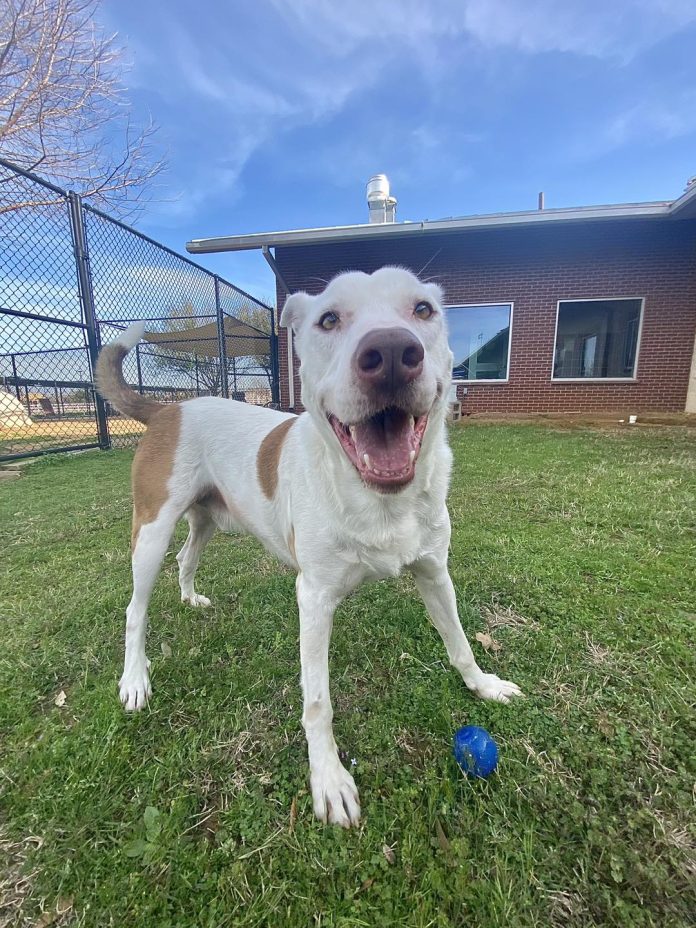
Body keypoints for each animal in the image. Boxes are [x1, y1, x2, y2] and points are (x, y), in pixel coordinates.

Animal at [96, 266, 520, 828]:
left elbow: (461, 643)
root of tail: (169, 407)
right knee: (134, 610)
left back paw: (190, 597)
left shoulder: (435, 573)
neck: (377, 499)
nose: (391, 352)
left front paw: (484, 685)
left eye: (423, 310)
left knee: (187, 557)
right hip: (151, 531)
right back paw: (135, 679)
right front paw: (329, 778)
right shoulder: (314, 599)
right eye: (329, 319)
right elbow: (318, 700)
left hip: (208, 519)